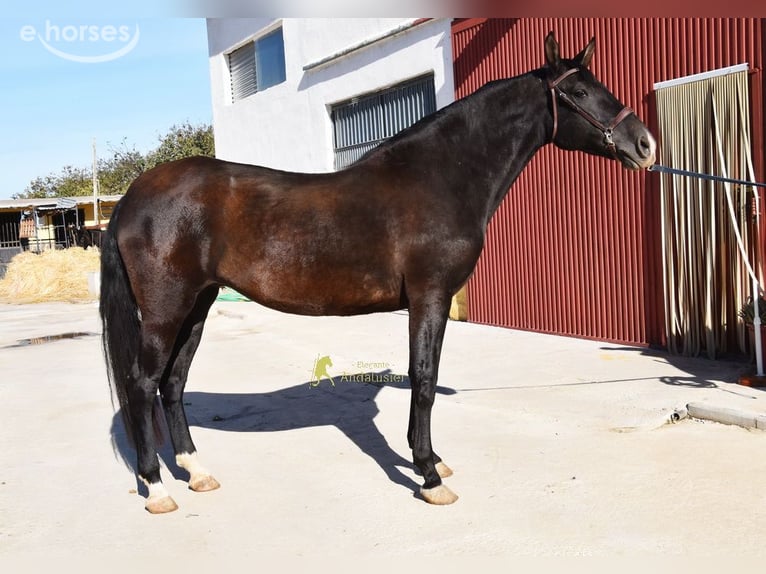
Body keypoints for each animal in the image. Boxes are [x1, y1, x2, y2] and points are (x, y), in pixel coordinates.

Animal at [100, 32, 656, 513]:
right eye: (579, 91)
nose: (645, 145)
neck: (439, 177)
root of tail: (133, 195)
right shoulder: (430, 297)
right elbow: (425, 379)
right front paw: (428, 475)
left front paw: (432, 463)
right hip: (167, 309)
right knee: (142, 384)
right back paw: (156, 487)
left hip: (198, 304)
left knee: (172, 383)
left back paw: (196, 472)